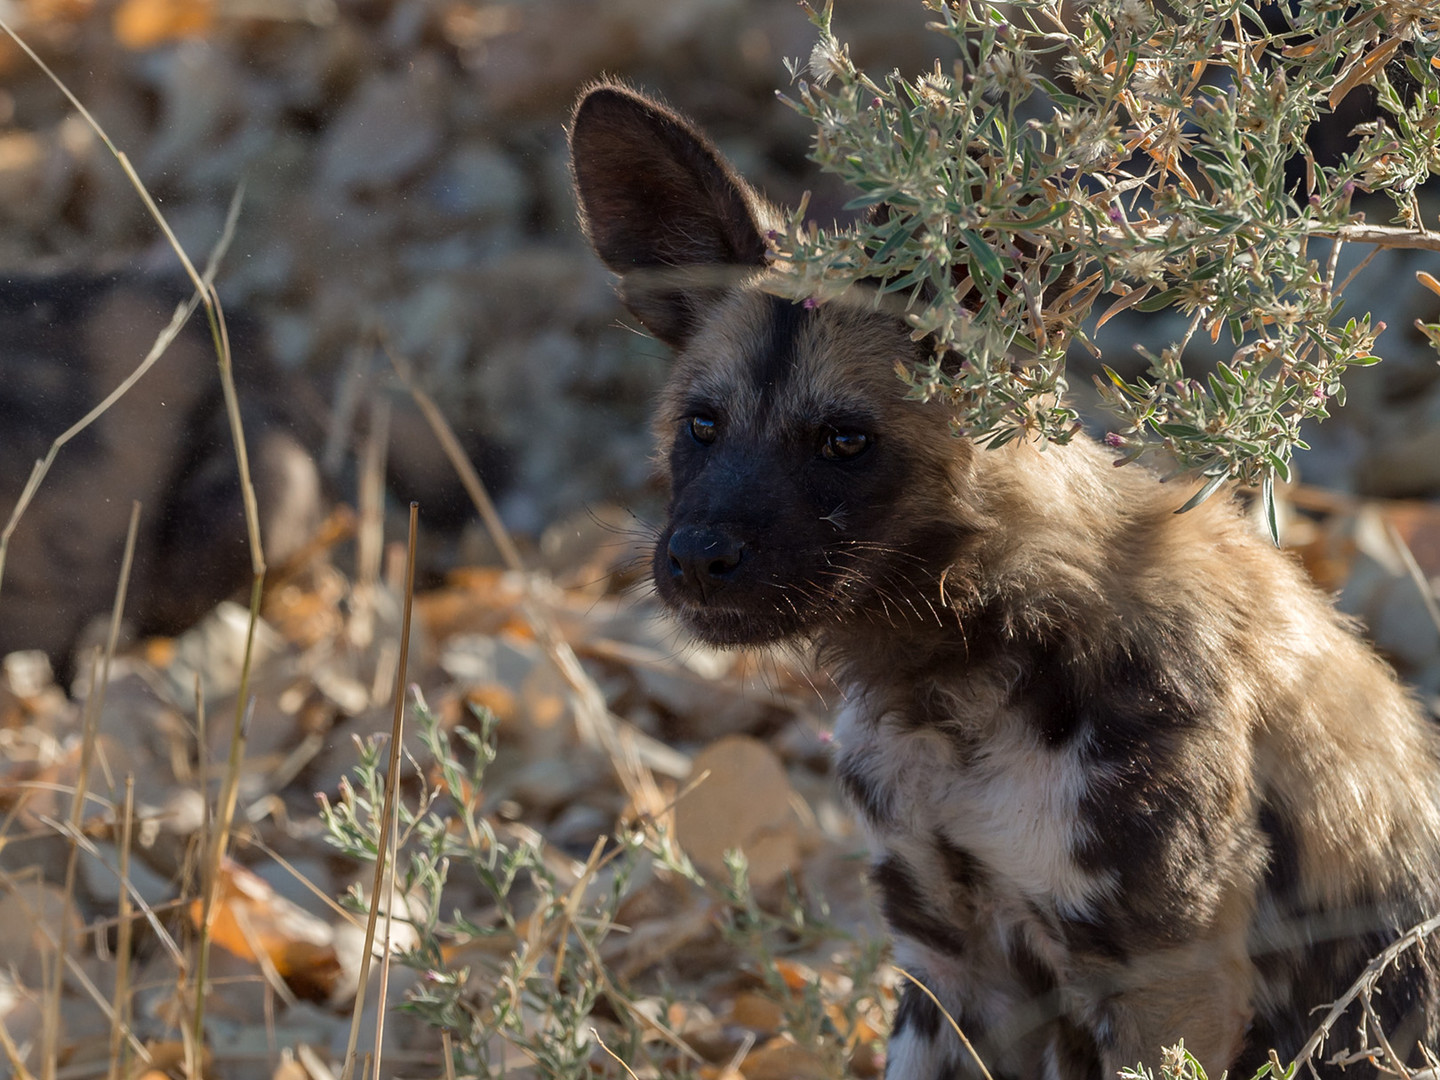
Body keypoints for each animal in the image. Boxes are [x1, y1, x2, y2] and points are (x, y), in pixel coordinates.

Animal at [567, 84, 1440, 1080]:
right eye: (702, 426)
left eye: (844, 440)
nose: (697, 556)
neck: (968, 670)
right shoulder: (950, 963)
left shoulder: (1165, 976)